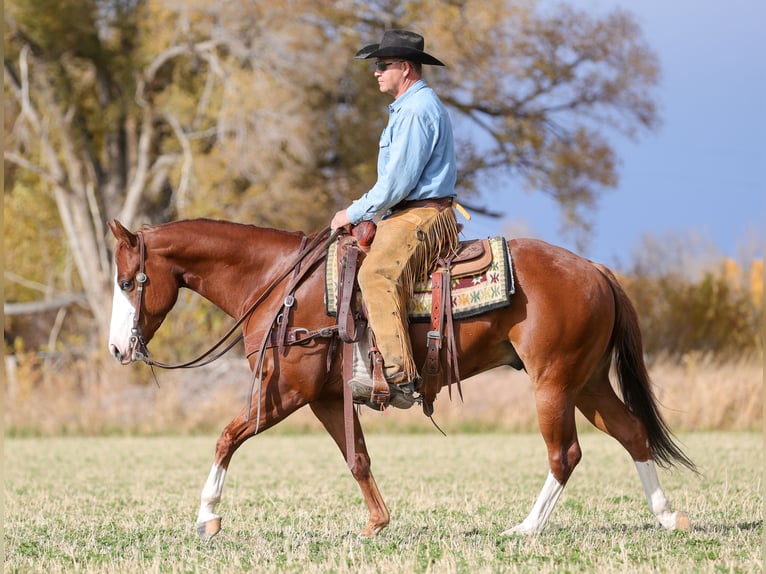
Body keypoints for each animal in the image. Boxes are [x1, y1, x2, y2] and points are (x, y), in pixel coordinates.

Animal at [107, 217, 695, 540]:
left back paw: (526, 528)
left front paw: (207, 516)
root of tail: (597, 270)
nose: (117, 349)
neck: (280, 285)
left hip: (553, 384)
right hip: (587, 381)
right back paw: (669, 518)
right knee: (632, 433)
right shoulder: (325, 399)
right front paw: (377, 522)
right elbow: (358, 459)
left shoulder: (287, 393)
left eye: (128, 281)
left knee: (565, 453)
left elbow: (227, 437)